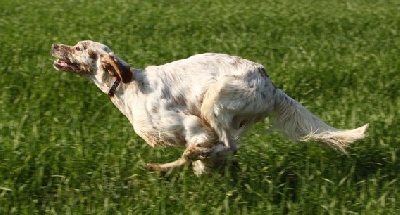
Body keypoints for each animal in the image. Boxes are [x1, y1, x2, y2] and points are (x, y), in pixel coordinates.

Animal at [50, 40, 368, 175]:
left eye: (79, 47)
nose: (54, 45)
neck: (129, 87)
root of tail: (271, 84)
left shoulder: (192, 127)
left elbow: (196, 149)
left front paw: (185, 161)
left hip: (215, 98)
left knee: (227, 144)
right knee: (225, 147)